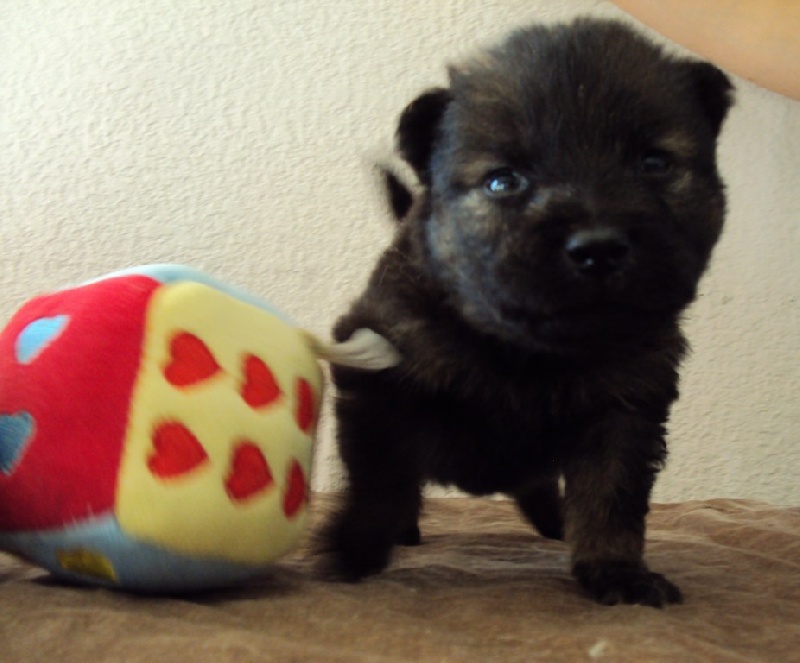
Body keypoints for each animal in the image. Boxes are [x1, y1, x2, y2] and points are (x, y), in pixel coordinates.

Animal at [320, 18, 734, 607]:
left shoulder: (626, 407)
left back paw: (554, 520)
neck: (527, 352)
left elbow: (610, 498)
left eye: (654, 163)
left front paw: (615, 570)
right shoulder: (379, 374)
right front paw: (354, 550)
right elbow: (380, 479)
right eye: (503, 180)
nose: (599, 248)